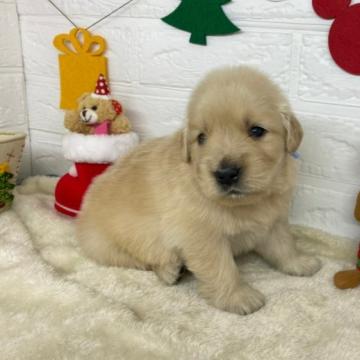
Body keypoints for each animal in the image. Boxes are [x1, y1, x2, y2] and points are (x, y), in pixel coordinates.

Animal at [76, 66, 320, 314]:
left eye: (257, 131)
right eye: (201, 137)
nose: (225, 174)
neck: (245, 203)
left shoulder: (273, 220)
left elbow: (284, 244)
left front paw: (299, 262)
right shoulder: (201, 234)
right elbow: (221, 267)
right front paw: (238, 297)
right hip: (106, 245)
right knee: (139, 259)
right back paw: (170, 269)